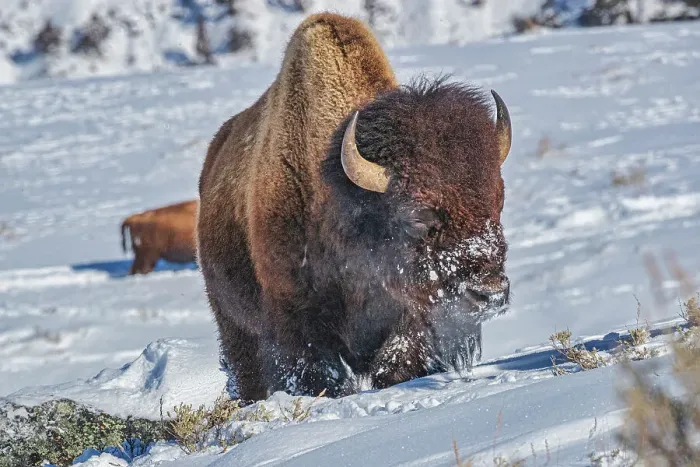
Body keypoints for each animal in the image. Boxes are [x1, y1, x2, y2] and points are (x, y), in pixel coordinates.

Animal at [197, 13, 512, 401]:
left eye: (499, 199)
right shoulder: (298, 323)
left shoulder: (411, 316)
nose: (490, 292)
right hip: (234, 325)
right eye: (416, 214)